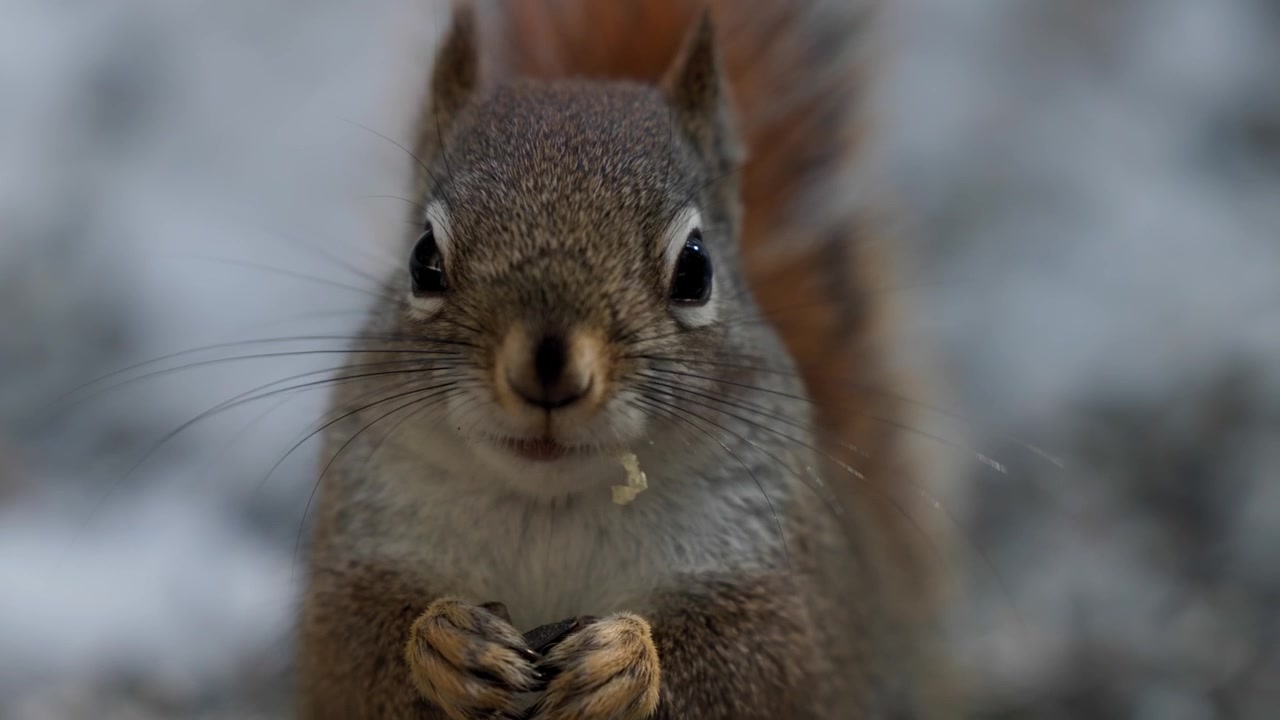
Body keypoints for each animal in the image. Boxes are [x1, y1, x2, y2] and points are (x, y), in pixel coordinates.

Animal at [297, 1, 947, 718]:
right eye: (422, 260)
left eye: (696, 269)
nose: (549, 367)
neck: (553, 503)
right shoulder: (370, 540)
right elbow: (343, 651)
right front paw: (444, 643)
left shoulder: (791, 585)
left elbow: (769, 663)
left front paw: (626, 661)